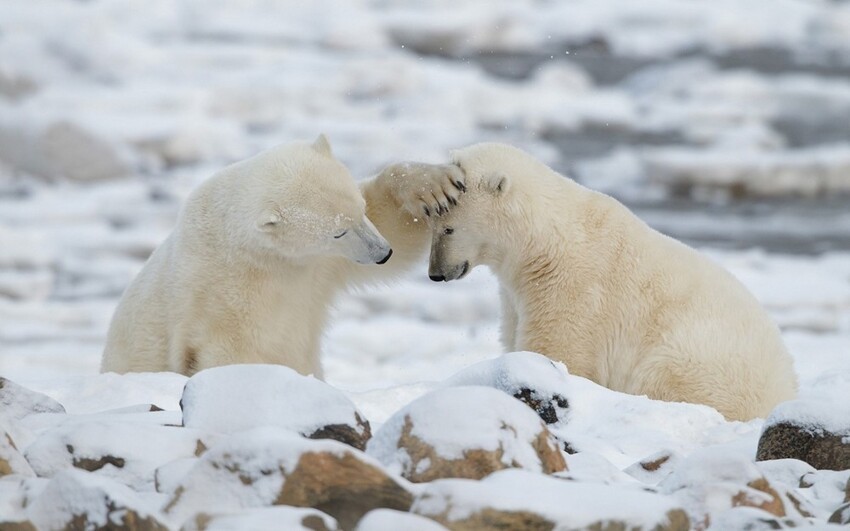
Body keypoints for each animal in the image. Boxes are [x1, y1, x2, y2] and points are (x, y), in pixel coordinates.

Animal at [106, 137, 468, 378]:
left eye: (361, 211)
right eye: (337, 232)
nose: (382, 253)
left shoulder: (317, 267)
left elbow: (394, 223)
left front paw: (434, 186)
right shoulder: (217, 298)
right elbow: (230, 355)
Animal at [428, 143, 800, 422]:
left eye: (449, 228)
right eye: (431, 221)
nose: (436, 273)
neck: (541, 244)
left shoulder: (573, 288)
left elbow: (558, 350)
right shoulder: (517, 294)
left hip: (700, 363)